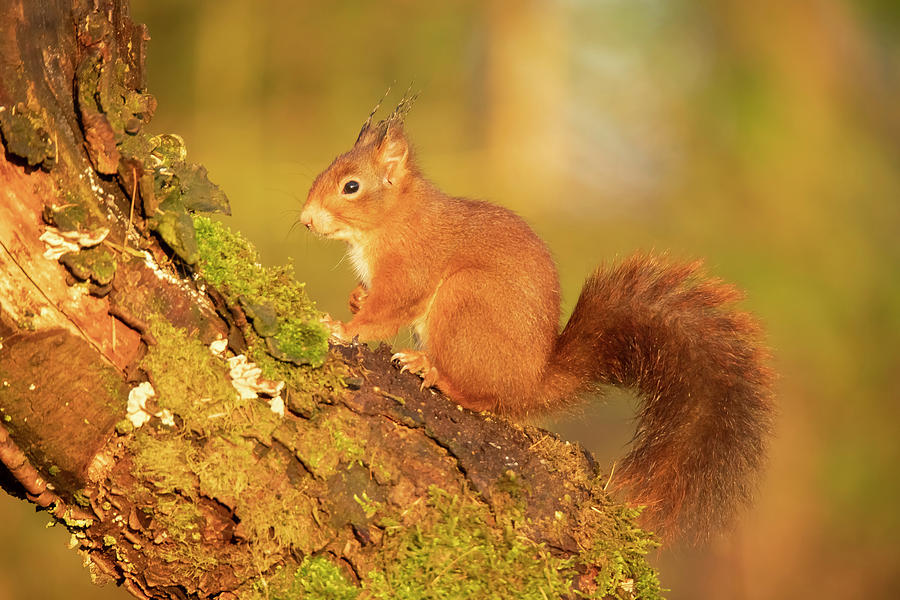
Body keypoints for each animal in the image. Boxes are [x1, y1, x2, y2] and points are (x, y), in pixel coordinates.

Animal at [300, 97, 772, 540]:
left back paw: (431, 371)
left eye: (351, 186)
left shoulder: (412, 266)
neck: (392, 220)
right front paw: (355, 298)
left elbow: (389, 310)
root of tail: (531, 383)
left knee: (483, 397)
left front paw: (343, 328)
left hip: (466, 301)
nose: (304, 220)